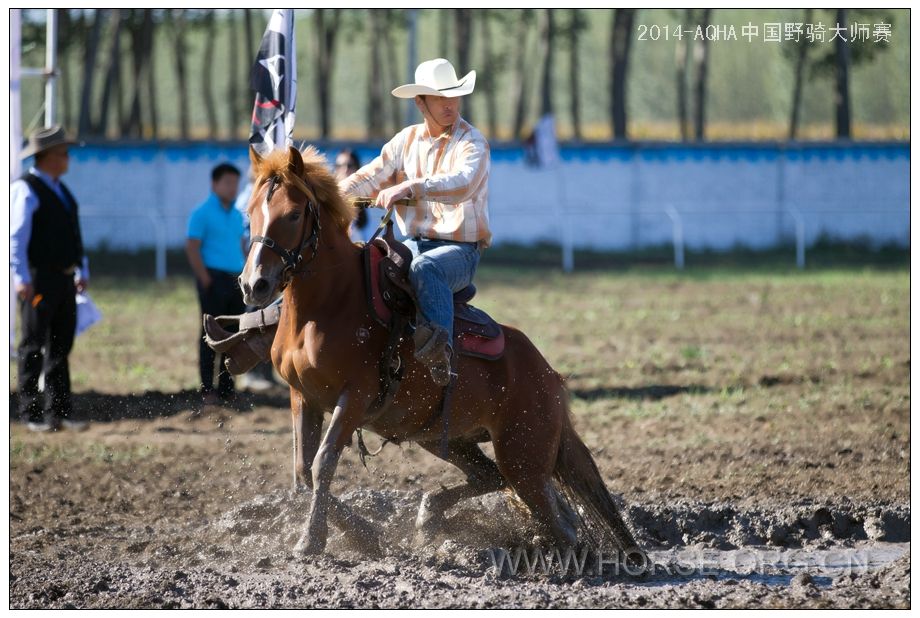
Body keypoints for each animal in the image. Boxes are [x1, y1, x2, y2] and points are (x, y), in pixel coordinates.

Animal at [237, 144, 640, 560]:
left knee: (558, 522)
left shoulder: (354, 397)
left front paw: (311, 539)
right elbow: (302, 471)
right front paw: (366, 534)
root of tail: (549, 375)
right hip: (443, 438)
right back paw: (430, 515)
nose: (254, 284)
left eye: (293, 214)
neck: (330, 303)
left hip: (525, 456)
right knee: (494, 478)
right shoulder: (303, 395)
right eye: (249, 212)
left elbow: (323, 463)